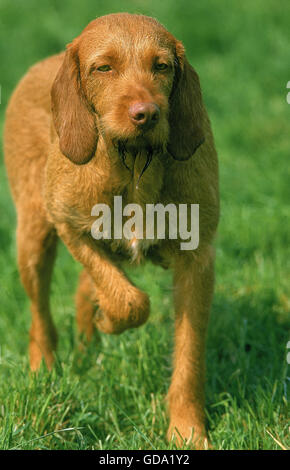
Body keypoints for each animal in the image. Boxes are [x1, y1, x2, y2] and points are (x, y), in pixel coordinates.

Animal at [3, 13, 220, 448]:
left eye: (162, 66)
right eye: (103, 68)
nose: (146, 114)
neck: (133, 165)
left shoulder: (198, 260)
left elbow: (188, 356)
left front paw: (187, 431)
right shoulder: (69, 225)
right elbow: (128, 299)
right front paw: (110, 319)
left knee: (84, 288)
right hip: (33, 239)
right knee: (40, 317)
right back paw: (44, 369)